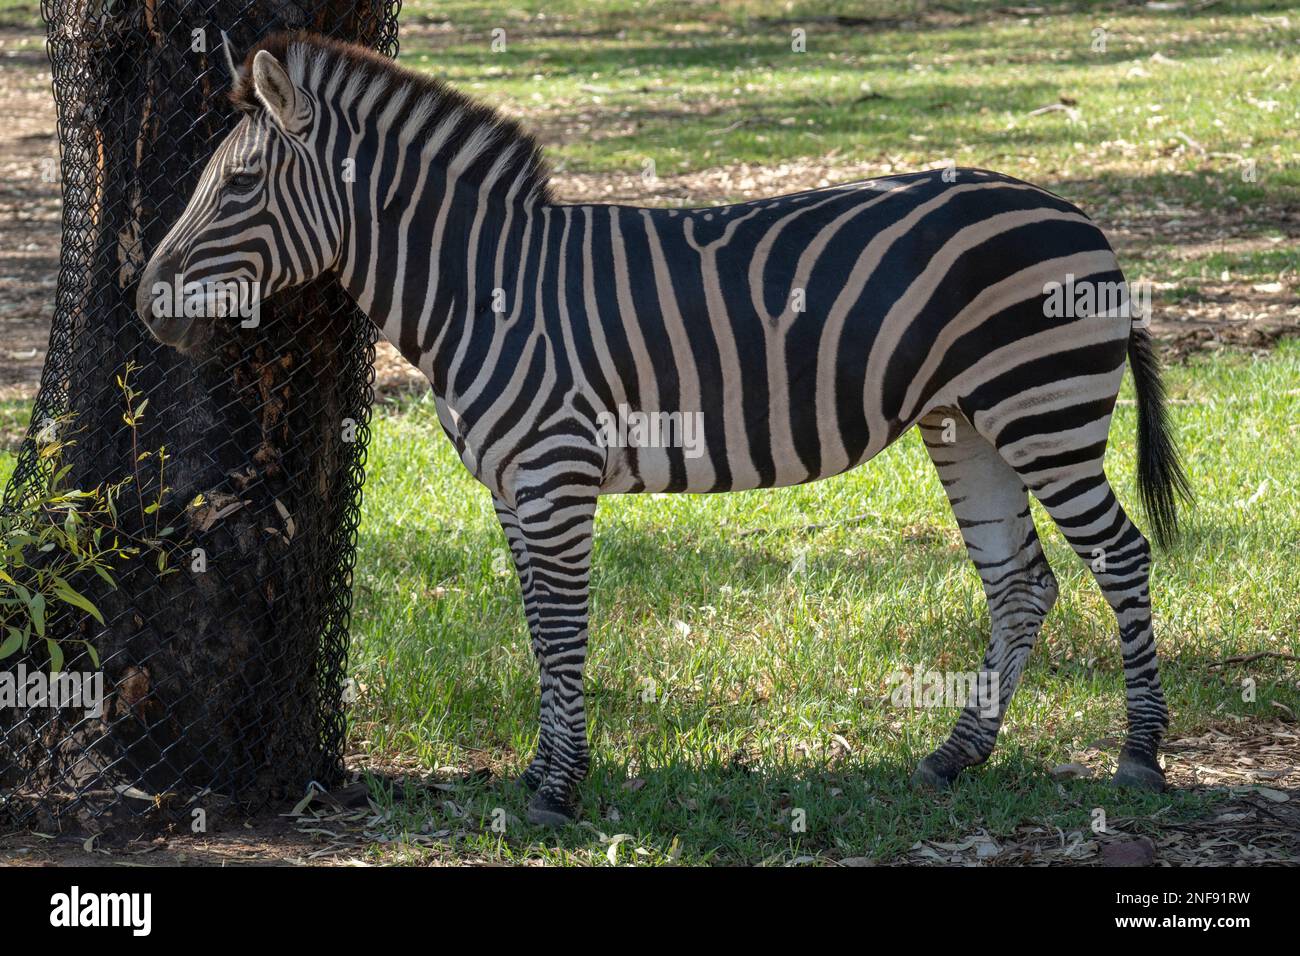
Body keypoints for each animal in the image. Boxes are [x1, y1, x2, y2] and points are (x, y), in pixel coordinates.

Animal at [136, 32, 1190, 825]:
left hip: (1041, 407)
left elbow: (564, 628)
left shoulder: (554, 475)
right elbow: (537, 626)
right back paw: (954, 755)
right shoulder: (514, 489)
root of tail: (1080, 218)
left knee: (1119, 557)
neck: (483, 290)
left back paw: (1140, 757)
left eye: (238, 187)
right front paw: (544, 772)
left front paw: (557, 792)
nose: (147, 306)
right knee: (1020, 582)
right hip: (966, 421)